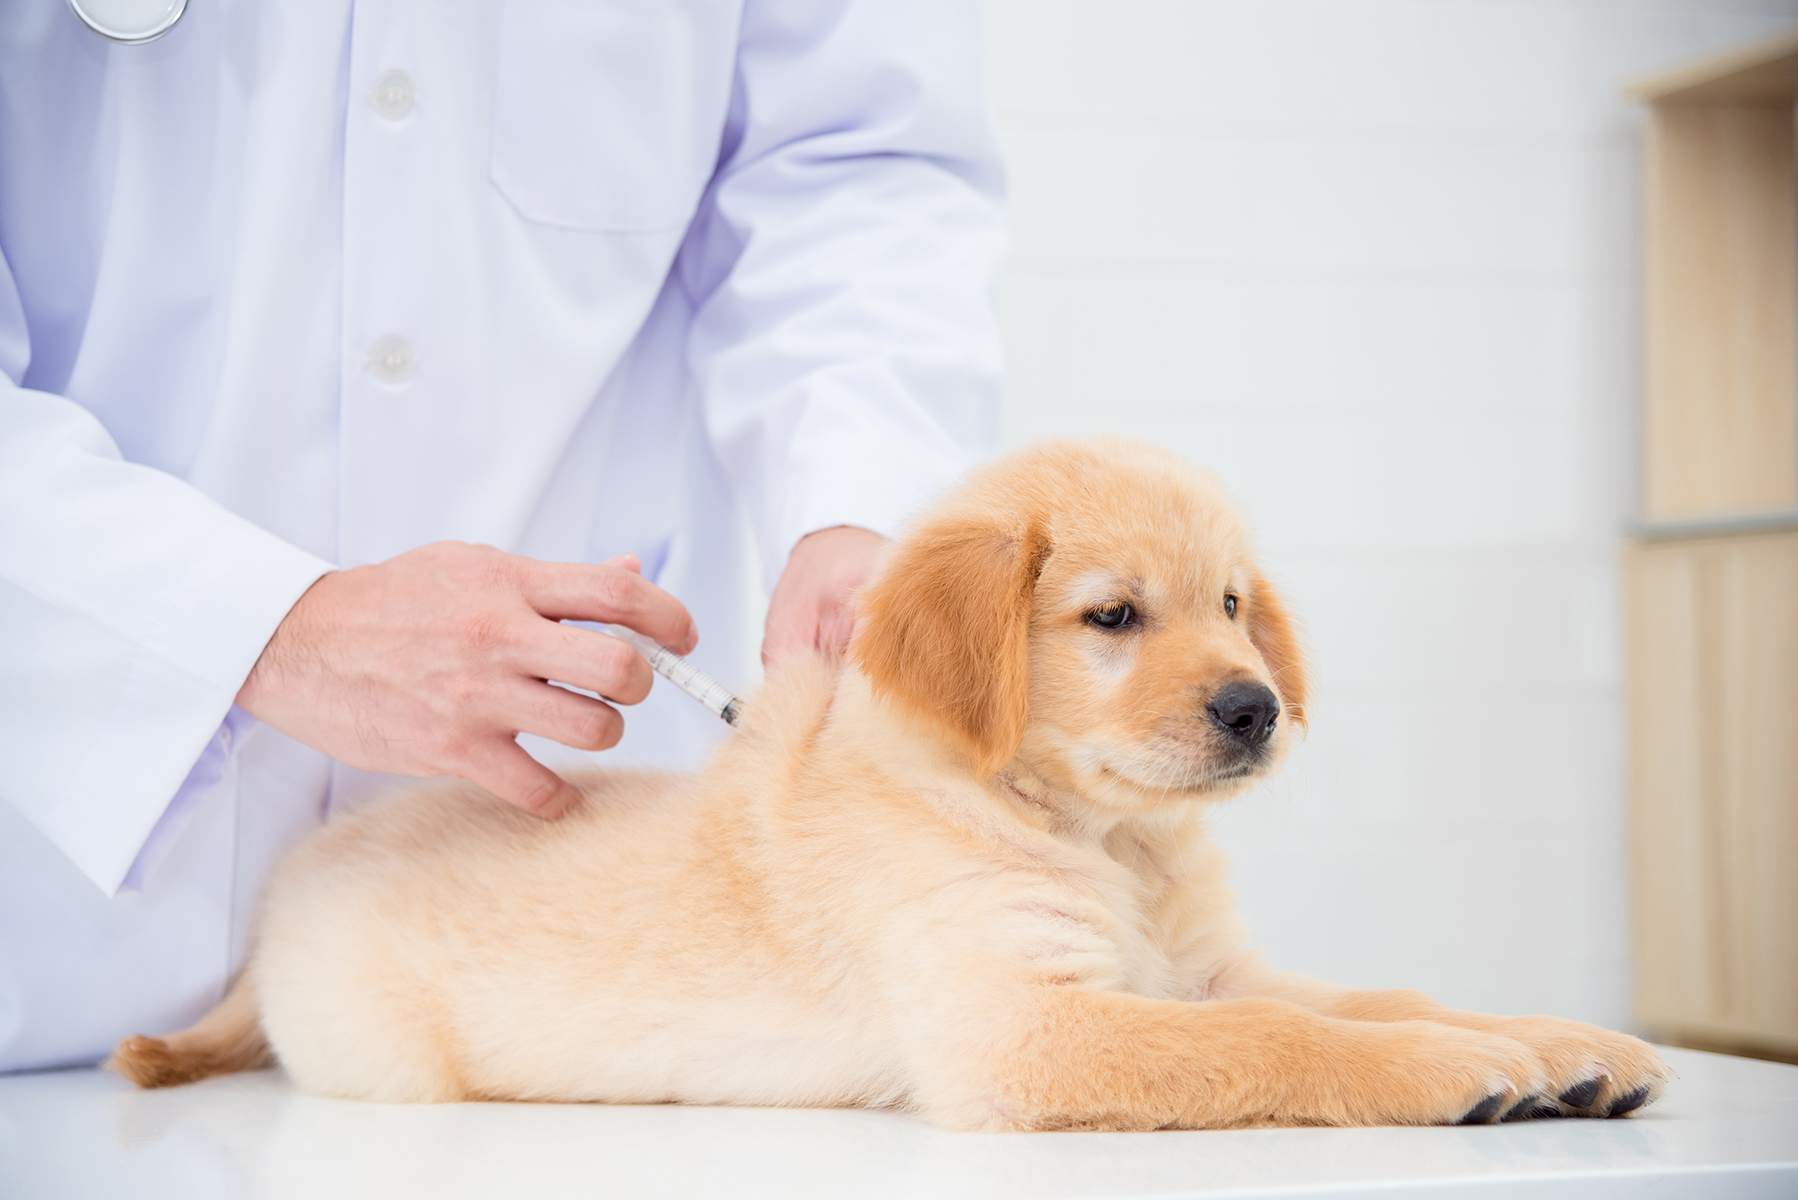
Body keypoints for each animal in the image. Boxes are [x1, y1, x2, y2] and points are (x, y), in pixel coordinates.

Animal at [112, 437, 1661, 1129]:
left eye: (1231, 604)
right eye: (1112, 617)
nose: (1256, 707)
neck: (1107, 842)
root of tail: (287, 893)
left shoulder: (1209, 967)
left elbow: (1371, 995)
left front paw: (1552, 1038)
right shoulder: (1024, 1031)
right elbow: (1288, 1043)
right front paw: (1458, 1070)